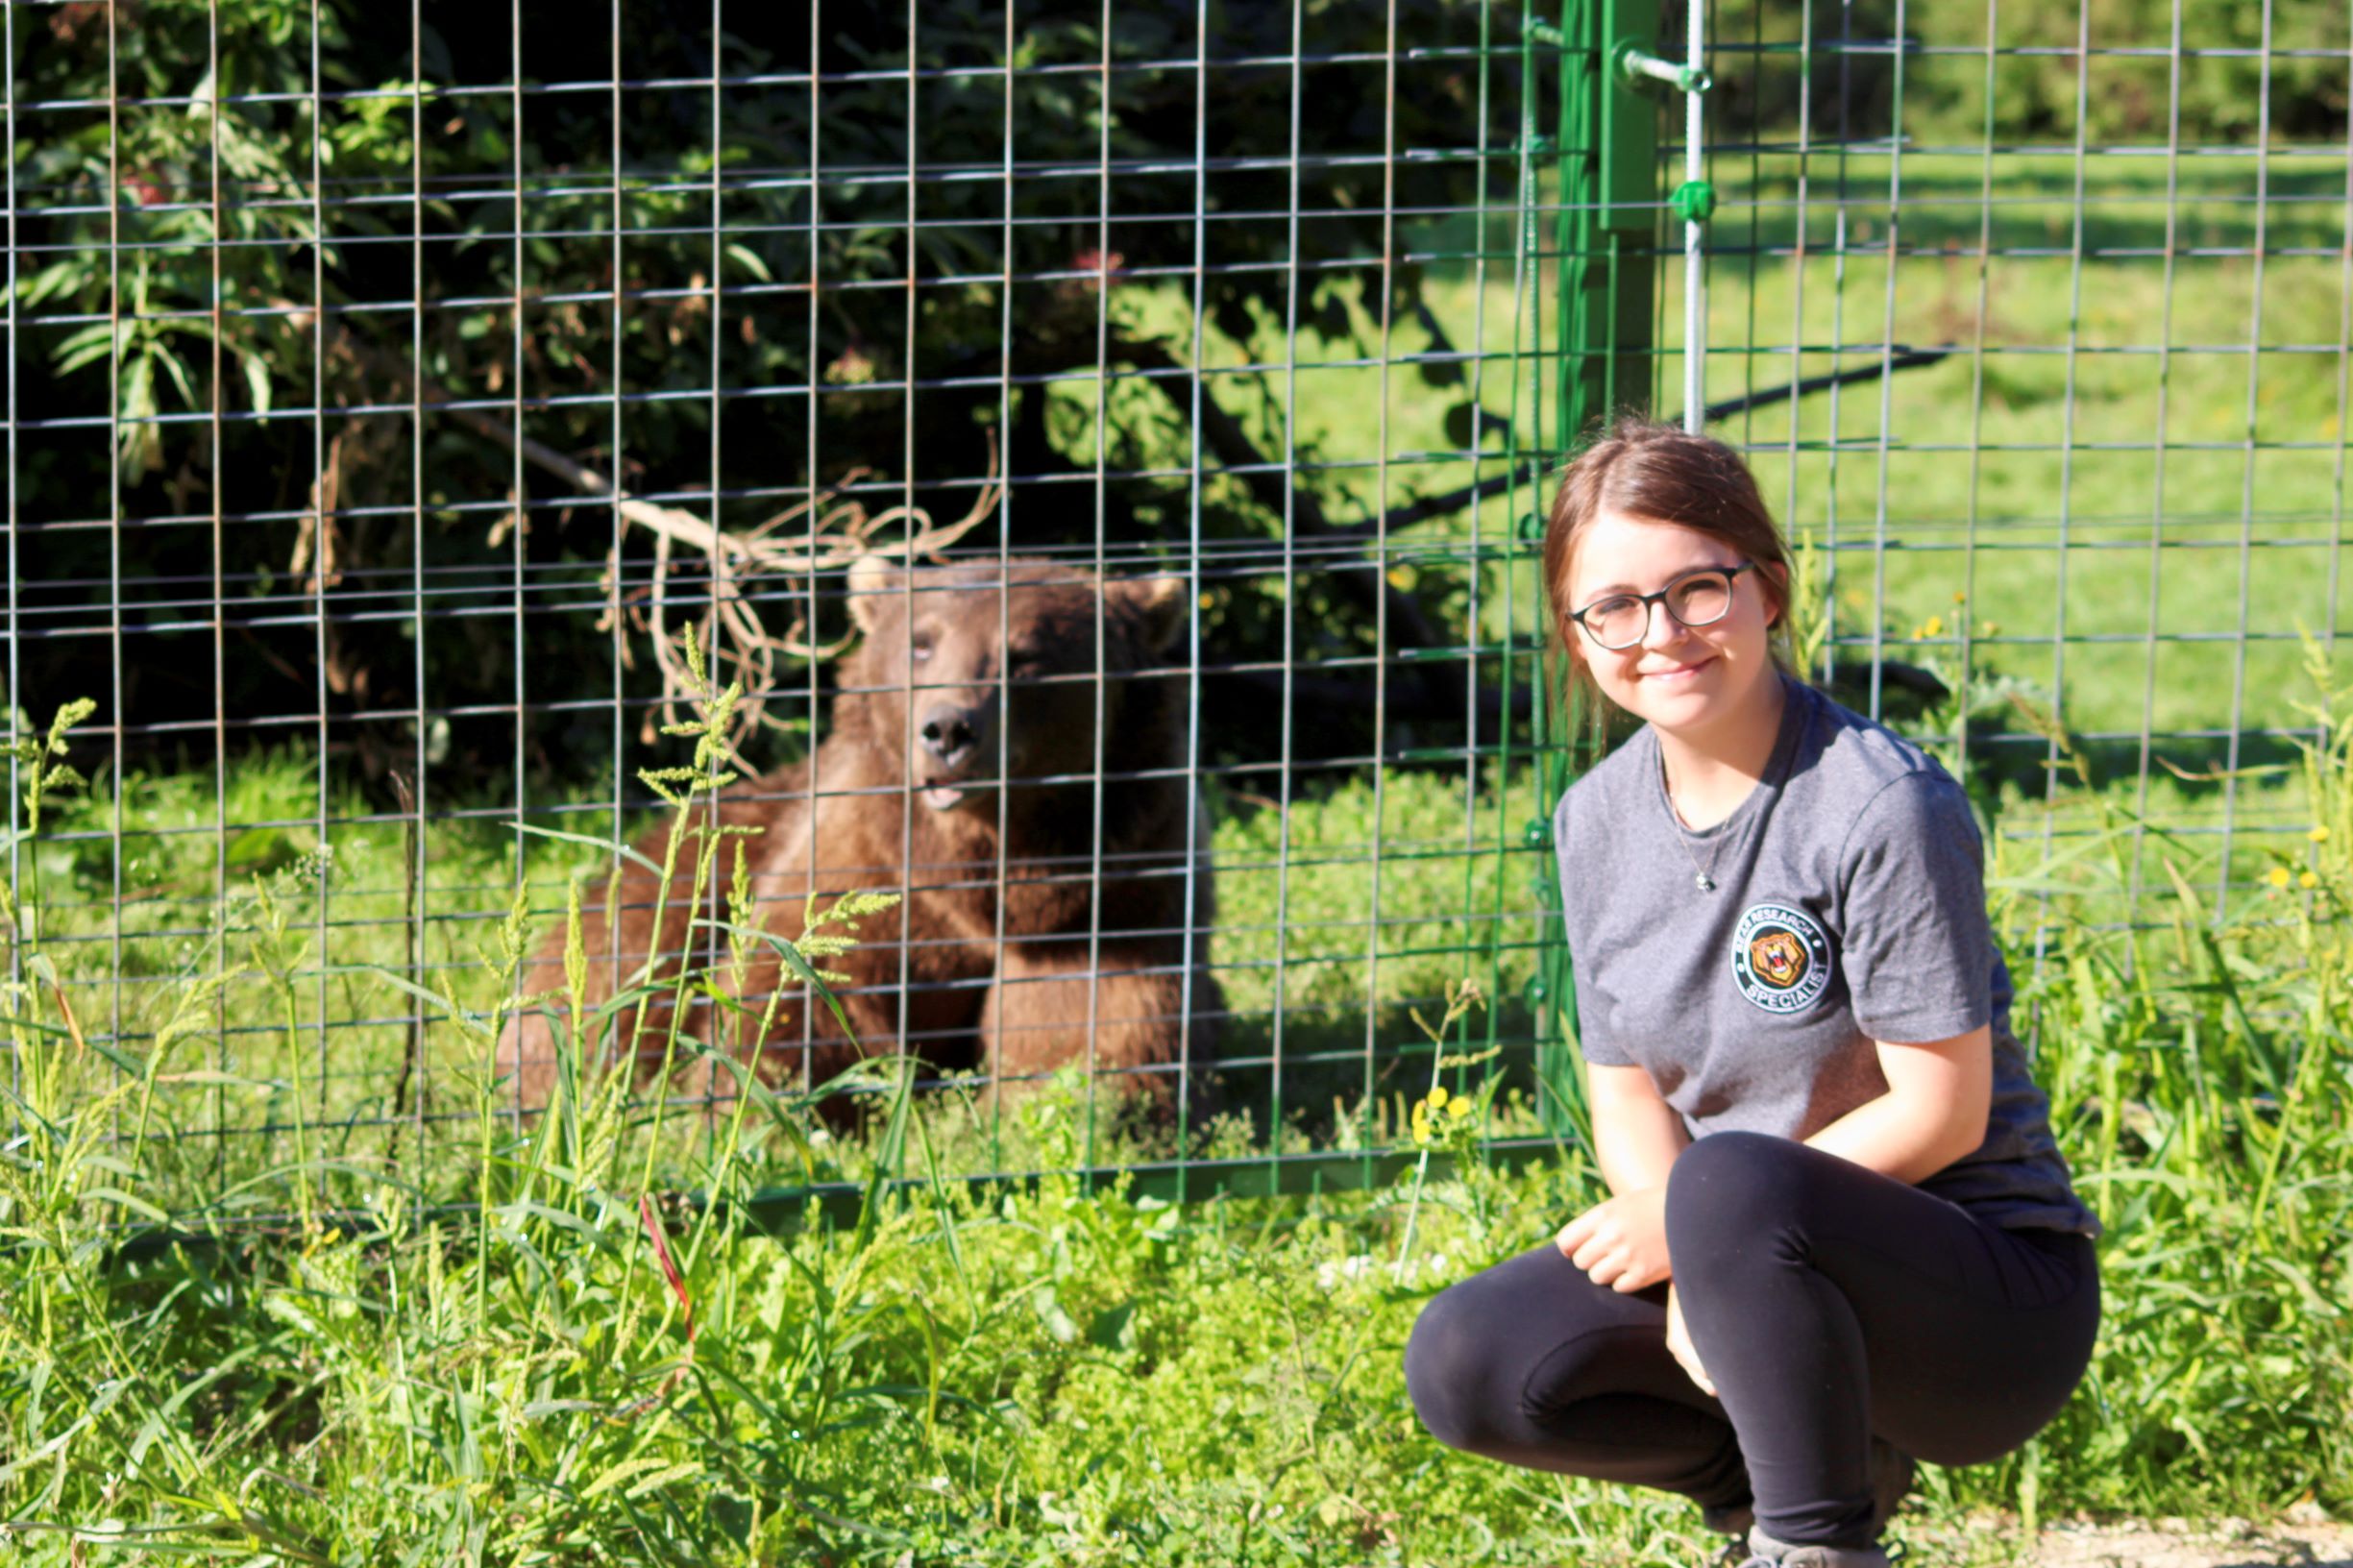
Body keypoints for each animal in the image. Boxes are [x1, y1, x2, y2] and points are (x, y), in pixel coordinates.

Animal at [503, 548, 1223, 1111]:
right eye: (921, 643)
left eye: (1026, 657)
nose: (947, 729)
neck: (985, 856)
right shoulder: (868, 861)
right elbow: (805, 992)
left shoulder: (1111, 891)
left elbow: (1092, 1018)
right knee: (614, 963)